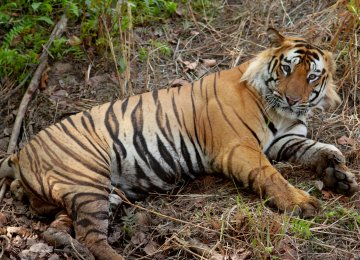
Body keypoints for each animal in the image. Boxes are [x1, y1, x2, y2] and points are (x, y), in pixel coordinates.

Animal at [0, 28, 358, 260]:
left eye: (312, 76)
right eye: (286, 68)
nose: (293, 99)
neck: (280, 112)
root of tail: (19, 153)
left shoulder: (283, 140)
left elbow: (316, 149)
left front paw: (339, 175)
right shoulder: (239, 148)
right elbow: (273, 176)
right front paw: (303, 202)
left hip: (97, 192)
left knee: (60, 228)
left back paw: (64, 241)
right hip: (87, 179)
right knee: (91, 237)